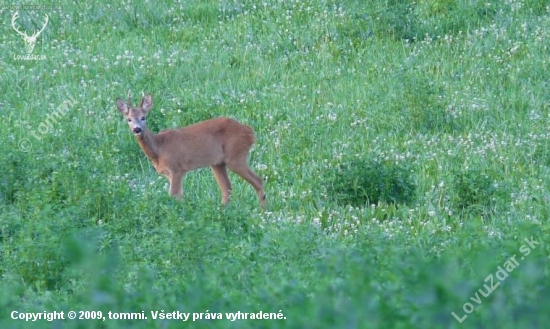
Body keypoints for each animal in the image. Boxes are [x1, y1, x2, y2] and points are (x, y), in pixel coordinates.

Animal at [117, 92, 268, 208]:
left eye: (143, 117)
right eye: (129, 119)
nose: (137, 129)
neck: (158, 149)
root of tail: (249, 132)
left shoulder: (177, 169)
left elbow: (173, 196)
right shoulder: (169, 174)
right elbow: (179, 196)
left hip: (236, 155)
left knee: (258, 180)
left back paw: (263, 213)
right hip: (218, 163)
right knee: (227, 189)